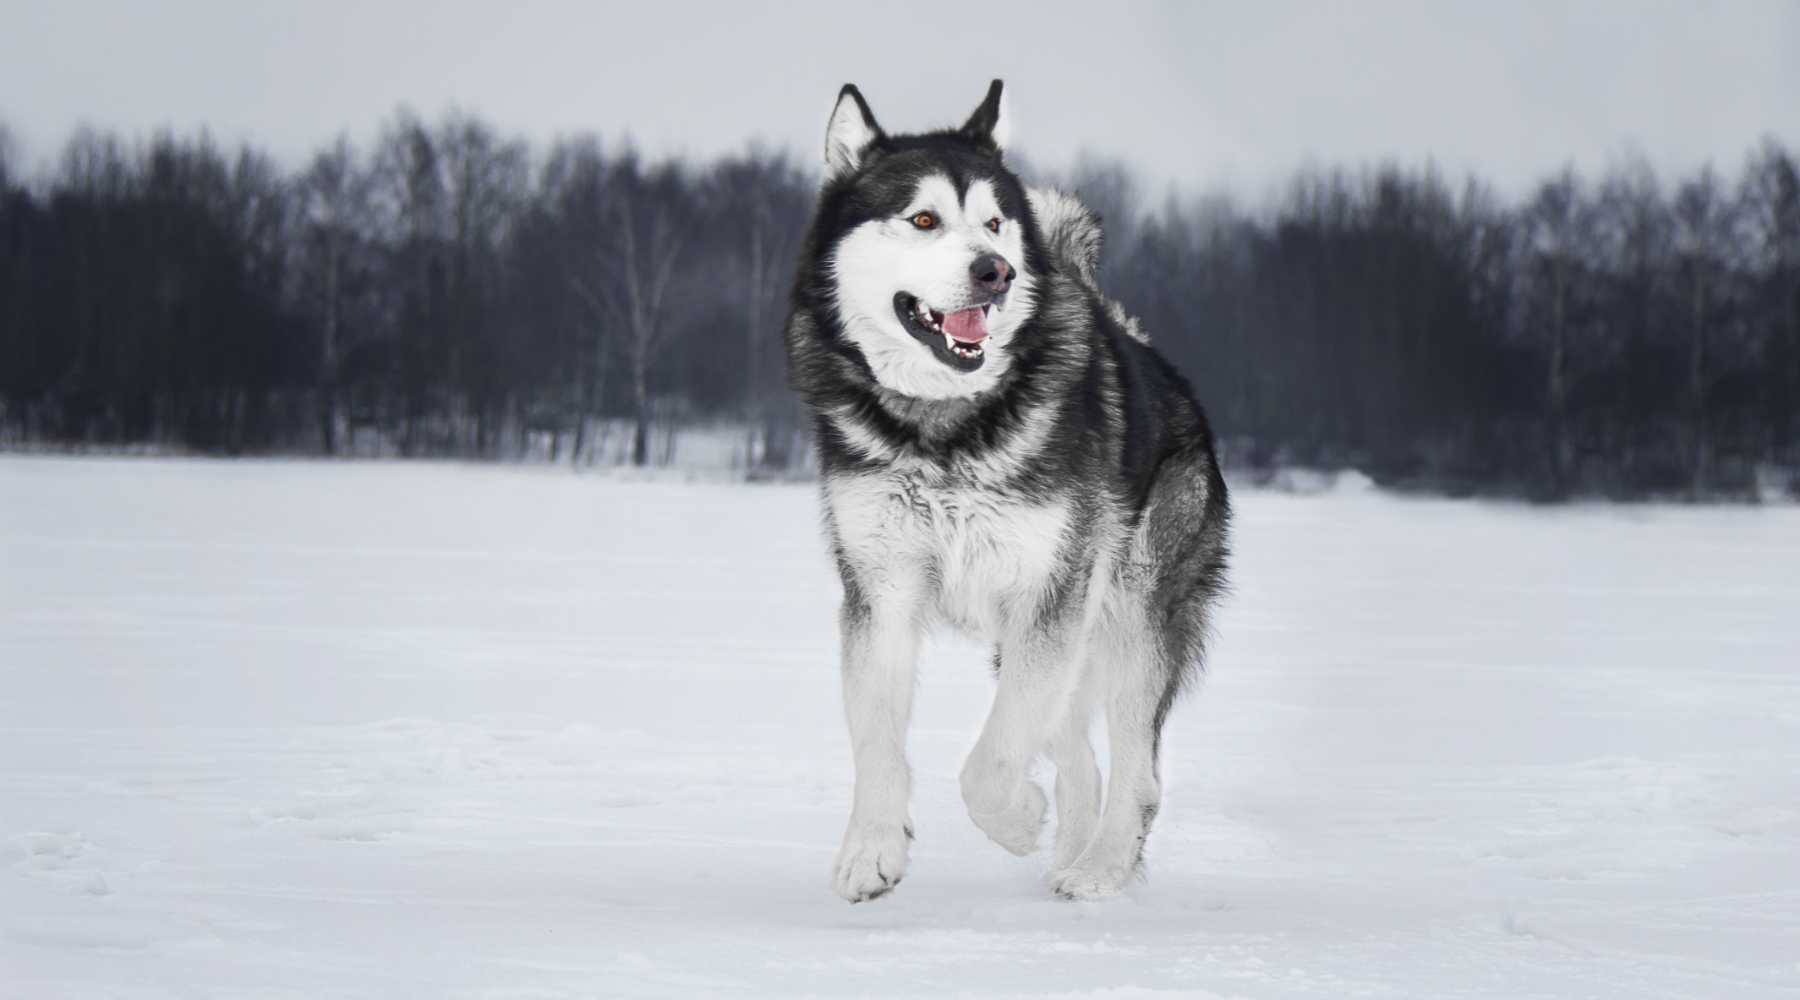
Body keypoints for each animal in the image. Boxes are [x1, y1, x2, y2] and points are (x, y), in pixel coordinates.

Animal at [784, 81, 1224, 902]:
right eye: (924, 219)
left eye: (993, 223)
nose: (997, 271)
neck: (944, 433)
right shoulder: (882, 590)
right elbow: (877, 739)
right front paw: (871, 852)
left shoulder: (1046, 595)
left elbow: (990, 761)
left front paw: (1014, 817)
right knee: (1079, 758)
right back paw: (1072, 853)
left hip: (1127, 616)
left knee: (1136, 771)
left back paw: (1101, 868)